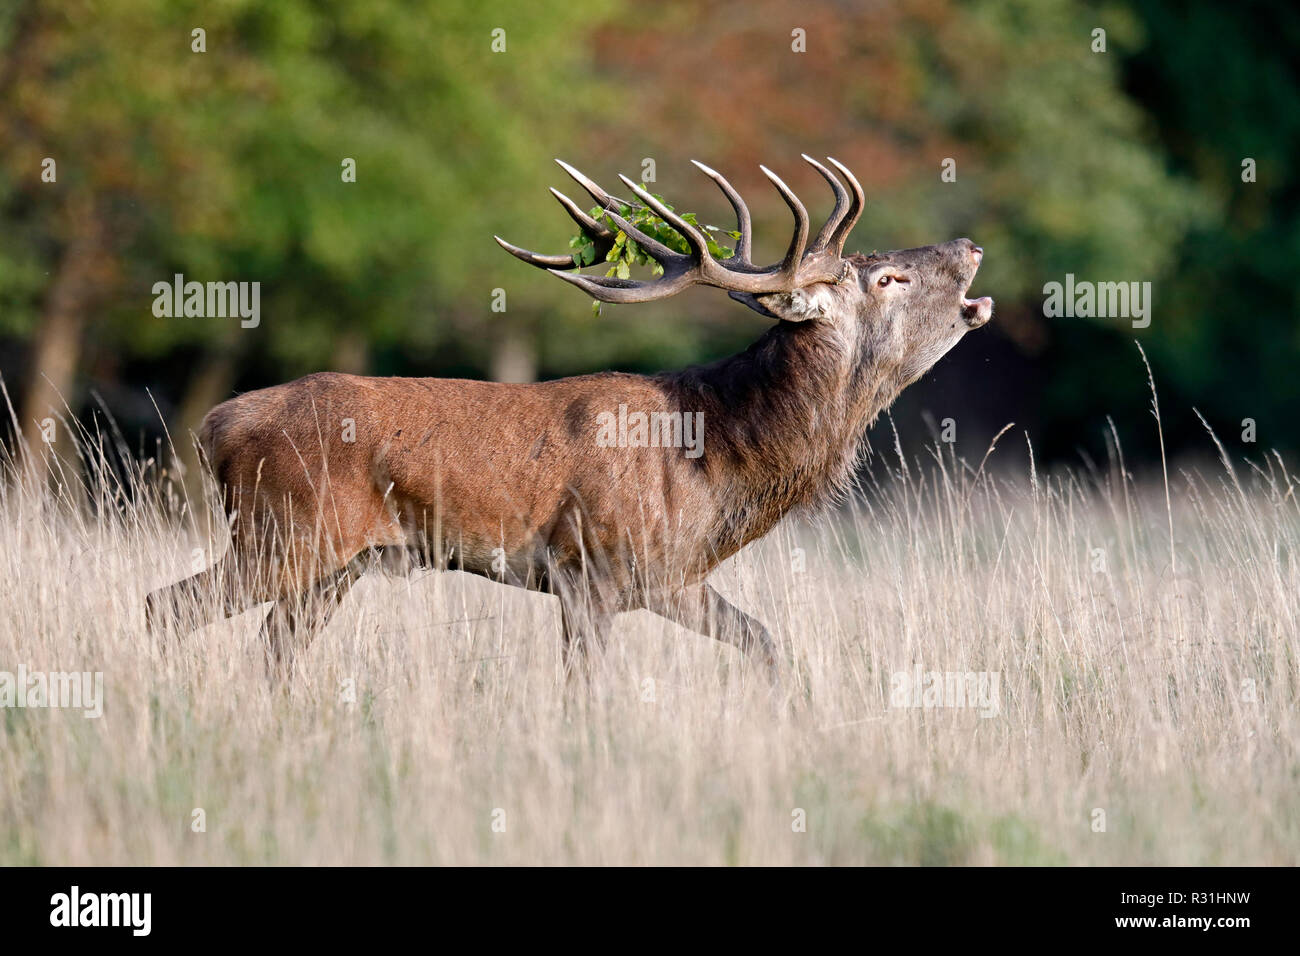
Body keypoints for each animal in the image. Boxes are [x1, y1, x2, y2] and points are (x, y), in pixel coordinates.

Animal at [145, 155, 992, 682]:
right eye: (887, 278)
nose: (970, 245)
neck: (718, 455)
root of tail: (217, 424)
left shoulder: (669, 578)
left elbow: (766, 643)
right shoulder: (589, 568)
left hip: (333, 564)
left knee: (269, 650)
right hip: (285, 533)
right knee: (165, 605)